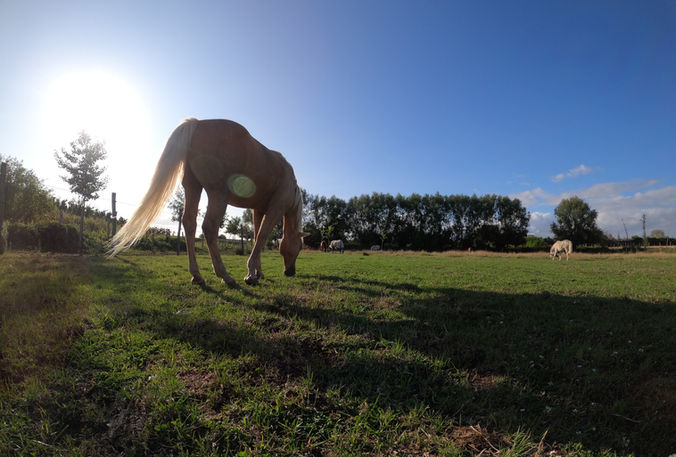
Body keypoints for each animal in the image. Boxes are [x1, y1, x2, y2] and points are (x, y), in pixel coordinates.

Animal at [109, 118, 307, 286]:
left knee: (189, 223)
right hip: (217, 194)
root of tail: (197, 123)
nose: (290, 272)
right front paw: (251, 274)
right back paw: (224, 275)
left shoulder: (258, 210)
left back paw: (197, 275)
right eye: (299, 247)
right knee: (209, 228)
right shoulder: (275, 209)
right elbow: (262, 237)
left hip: (193, 188)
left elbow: (257, 235)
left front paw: (258, 272)